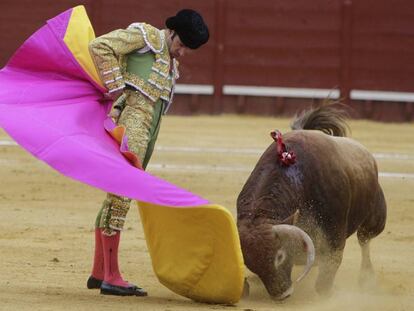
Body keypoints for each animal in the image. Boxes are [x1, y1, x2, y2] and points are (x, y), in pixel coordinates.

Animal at [238, 105, 386, 300]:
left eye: (280, 256)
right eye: (250, 263)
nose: (282, 294)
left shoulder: (334, 233)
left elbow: (329, 268)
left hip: (375, 219)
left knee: (365, 240)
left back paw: (366, 279)